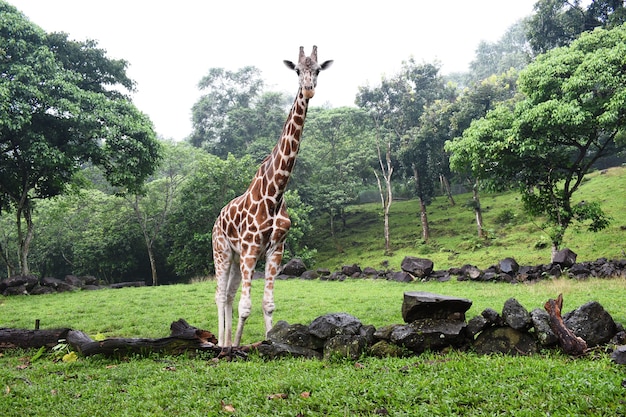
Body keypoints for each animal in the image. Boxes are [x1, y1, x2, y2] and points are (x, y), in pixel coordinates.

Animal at [212, 45, 332, 348]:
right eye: (297, 70)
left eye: (317, 70)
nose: (308, 89)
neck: (276, 192)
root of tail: (217, 218)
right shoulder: (250, 248)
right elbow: (246, 306)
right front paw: (237, 347)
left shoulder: (276, 248)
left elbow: (267, 304)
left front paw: (268, 343)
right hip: (222, 250)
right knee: (220, 295)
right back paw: (221, 344)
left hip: (234, 257)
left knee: (228, 295)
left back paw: (226, 341)